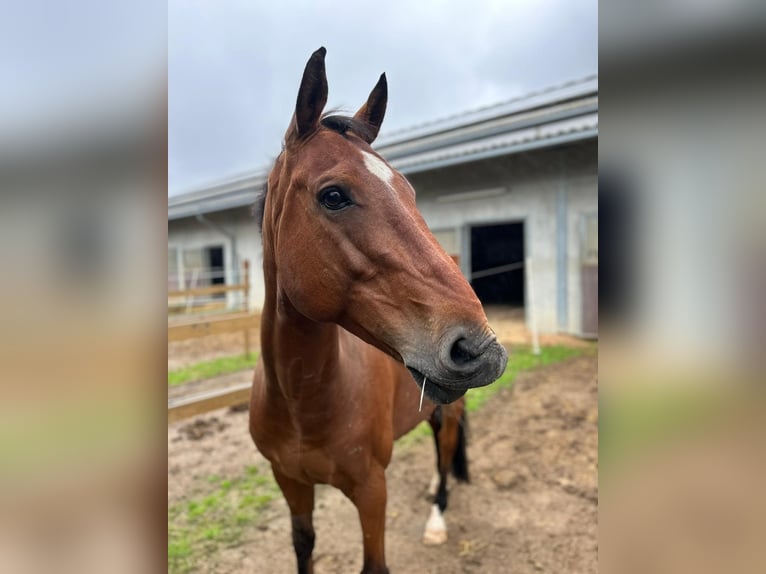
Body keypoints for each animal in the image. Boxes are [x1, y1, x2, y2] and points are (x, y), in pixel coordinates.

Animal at [248, 47, 510, 572]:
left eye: (410, 193)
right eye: (333, 195)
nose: (480, 348)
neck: (303, 401)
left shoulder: (371, 491)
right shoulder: (291, 484)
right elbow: (303, 545)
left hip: (450, 412)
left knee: (445, 448)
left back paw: (437, 515)